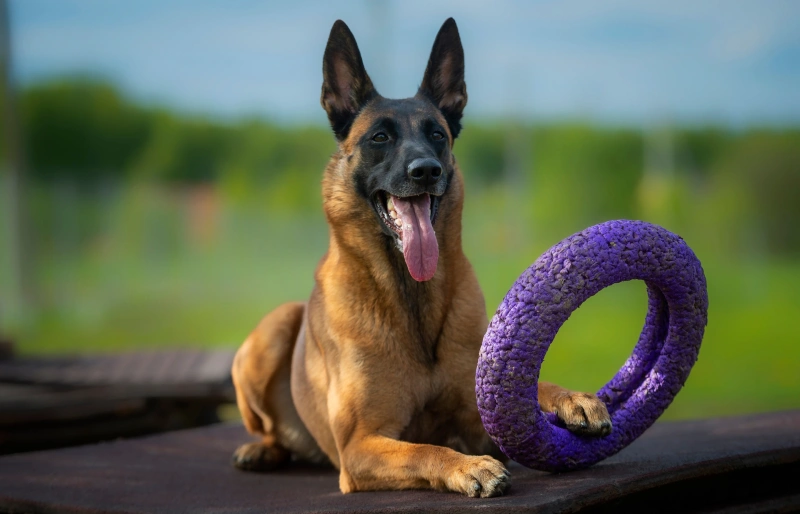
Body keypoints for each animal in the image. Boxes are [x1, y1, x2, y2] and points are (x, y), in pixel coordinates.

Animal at [231, 18, 612, 494]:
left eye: (437, 135)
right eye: (379, 137)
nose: (426, 170)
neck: (411, 302)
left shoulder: (476, 416)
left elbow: (527, 393)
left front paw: (570, 398)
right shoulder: (360, 445)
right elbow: (423, 449)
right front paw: (470, 467)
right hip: (275, 329)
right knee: (268, 429)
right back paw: (259, 450)